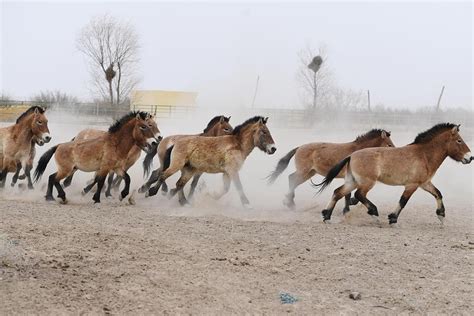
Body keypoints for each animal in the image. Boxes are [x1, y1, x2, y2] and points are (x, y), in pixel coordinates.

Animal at [146, 116, 276, 207]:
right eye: (264, 131)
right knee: (163, 175)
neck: (237, 145)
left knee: (179, 184)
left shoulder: (227, 173)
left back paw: (182, 201)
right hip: (176, 166)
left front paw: (211, 195)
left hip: (189, 170)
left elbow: (225, 189)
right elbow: (239, 186)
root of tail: (174, 143)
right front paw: (246, 204)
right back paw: (151, 192)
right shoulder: (232, 171)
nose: (273, 148)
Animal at [316, 123, 472, 225]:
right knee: (359, 195)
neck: (423, 155)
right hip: (367, 183)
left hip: (352, 181)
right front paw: (392, 218)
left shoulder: (425, 183)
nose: (470, 158)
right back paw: (374, 213)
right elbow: (403, 201)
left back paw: (327, 216)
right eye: (459, 140)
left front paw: (441, 215)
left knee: (338, 192)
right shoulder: (412, 185)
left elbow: (438, 194)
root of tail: (351, 156)